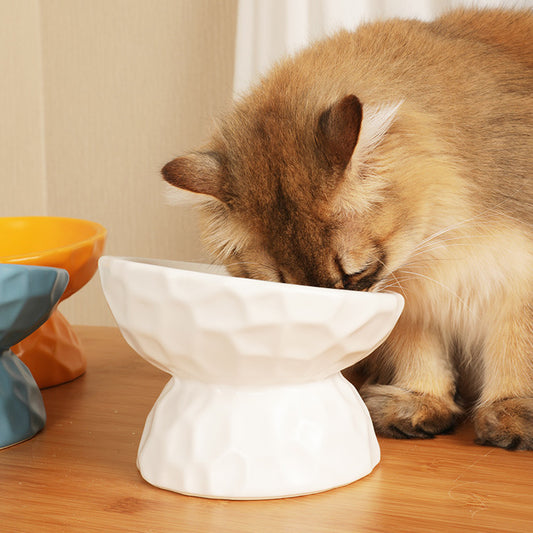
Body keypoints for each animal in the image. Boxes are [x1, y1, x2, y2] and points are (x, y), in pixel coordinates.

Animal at [162, 8, 532, 448]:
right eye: (288, 288)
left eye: (356, 273)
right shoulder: (414, 306)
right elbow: (422, 356)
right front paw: (419, 403)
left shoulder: (515, 280)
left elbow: (514, 350)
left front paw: (511, 414)